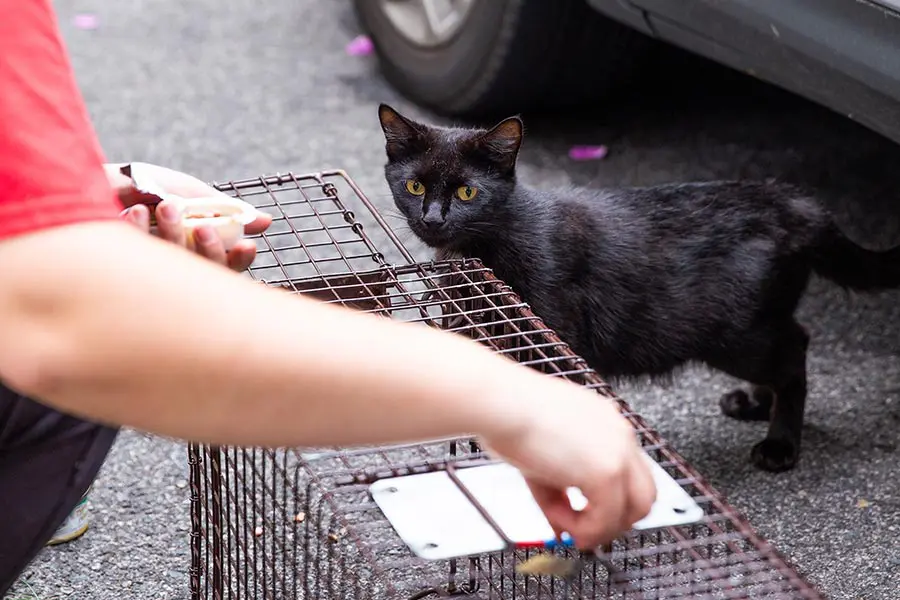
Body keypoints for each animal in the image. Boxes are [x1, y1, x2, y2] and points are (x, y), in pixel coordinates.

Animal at [376, 103, 900, 474]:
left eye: (467, 192)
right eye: (415, 187)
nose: (432, 219)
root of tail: (788, 201)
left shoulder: (550, 340)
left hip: (737, 334)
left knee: (795, 349)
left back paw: (781, 443)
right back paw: (755, 403)